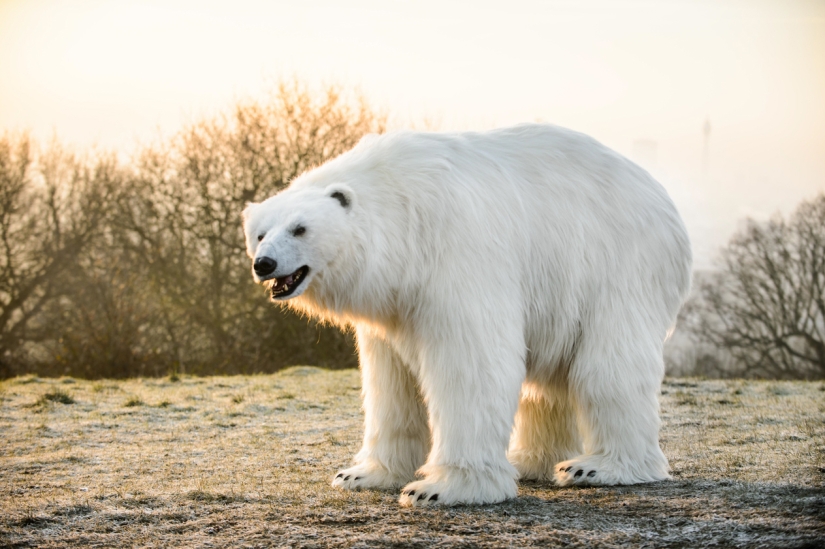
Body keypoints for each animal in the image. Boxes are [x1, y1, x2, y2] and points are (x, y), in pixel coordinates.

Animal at [242, 124, 692, 507]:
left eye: (300, 228)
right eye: (260, 233)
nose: (264, 264)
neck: (402, 214)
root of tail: (664, 198)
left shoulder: (455, 257)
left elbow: (472, 364)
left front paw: (438, 488)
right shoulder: (393, 305)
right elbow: (390, 381)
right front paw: (360, 474)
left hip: (619, 265)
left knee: (609, 367)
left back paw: (596, 467)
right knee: (548, 386)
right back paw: (530, 462)